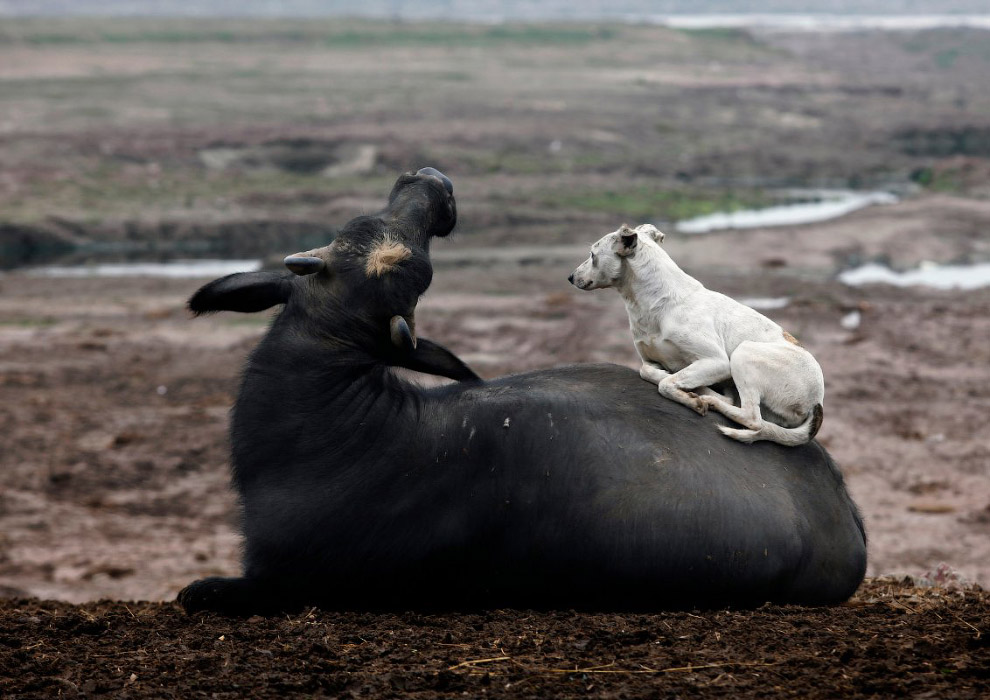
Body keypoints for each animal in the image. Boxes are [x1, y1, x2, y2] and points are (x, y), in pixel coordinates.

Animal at [568, 221, 824, 446]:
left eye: (592, 254)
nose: (570, 277)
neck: (658, 302)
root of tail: (817, 402)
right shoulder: (648, 359)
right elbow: (648, 372)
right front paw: (678, 382)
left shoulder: (717, 362)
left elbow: (666, 384)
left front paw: (691, 398)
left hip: (744, 353)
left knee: (752, 418)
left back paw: (709, 399)